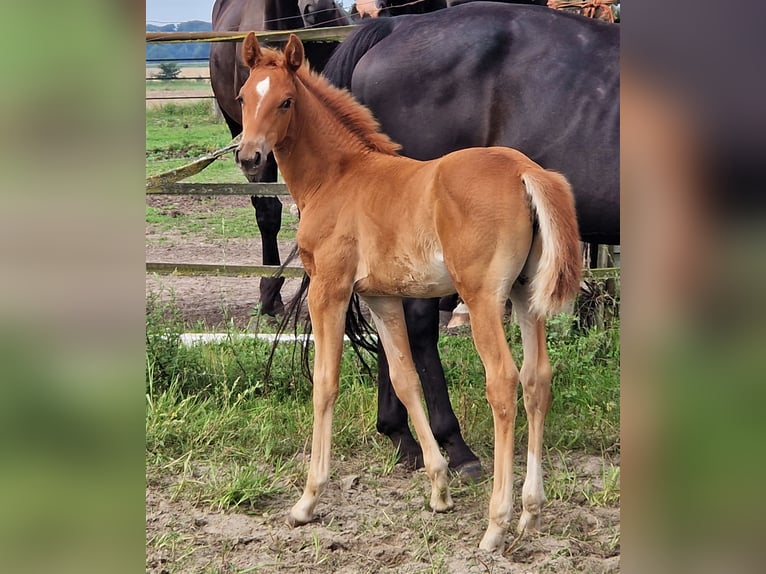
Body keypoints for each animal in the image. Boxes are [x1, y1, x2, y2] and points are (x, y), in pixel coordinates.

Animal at [236, 31, 584, 552]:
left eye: (285, 101)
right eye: (243, 98)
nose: (249, 157)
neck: (338, 177)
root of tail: (526, 171)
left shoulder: (330, 289)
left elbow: (325, 382)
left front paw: (308, 500)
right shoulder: (380, 297)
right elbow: (405, 379)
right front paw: (439, 489)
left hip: (482, 297)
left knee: (503, 381)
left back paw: (496, 524)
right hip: (527, 297)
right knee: (536, 379)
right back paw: (530, 514)